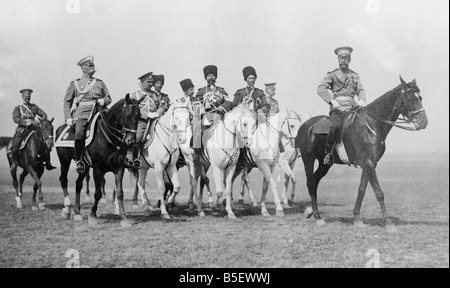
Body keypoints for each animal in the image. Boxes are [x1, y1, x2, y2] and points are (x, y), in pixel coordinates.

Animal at [55, 96, 142, 227]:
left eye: (139, 116)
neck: (109, 138)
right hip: (64, 160)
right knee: (63, 179)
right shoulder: (97, 170)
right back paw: (67, 209)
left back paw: (77, 213)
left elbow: (120, 193)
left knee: (78, 184)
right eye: (128, 115)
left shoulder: (119, 169)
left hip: (84, 167)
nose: (130, 141)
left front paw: (124, 218)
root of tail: (60, 128)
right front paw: (92, 216)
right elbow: (97, 193)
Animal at [298, 75, 428, 233]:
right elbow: (379, 193)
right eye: (409, 98)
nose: (424, 122)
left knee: (315, 181)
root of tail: (305, 125)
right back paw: (317, 217)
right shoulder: (368, 163)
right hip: (308, 159)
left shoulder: (369, 164)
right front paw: (388, 222)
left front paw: (358, 218)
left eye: (420, 97)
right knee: (311, 182)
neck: (372, 125)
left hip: (324, 163)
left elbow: (362, 190)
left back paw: (311, 211)